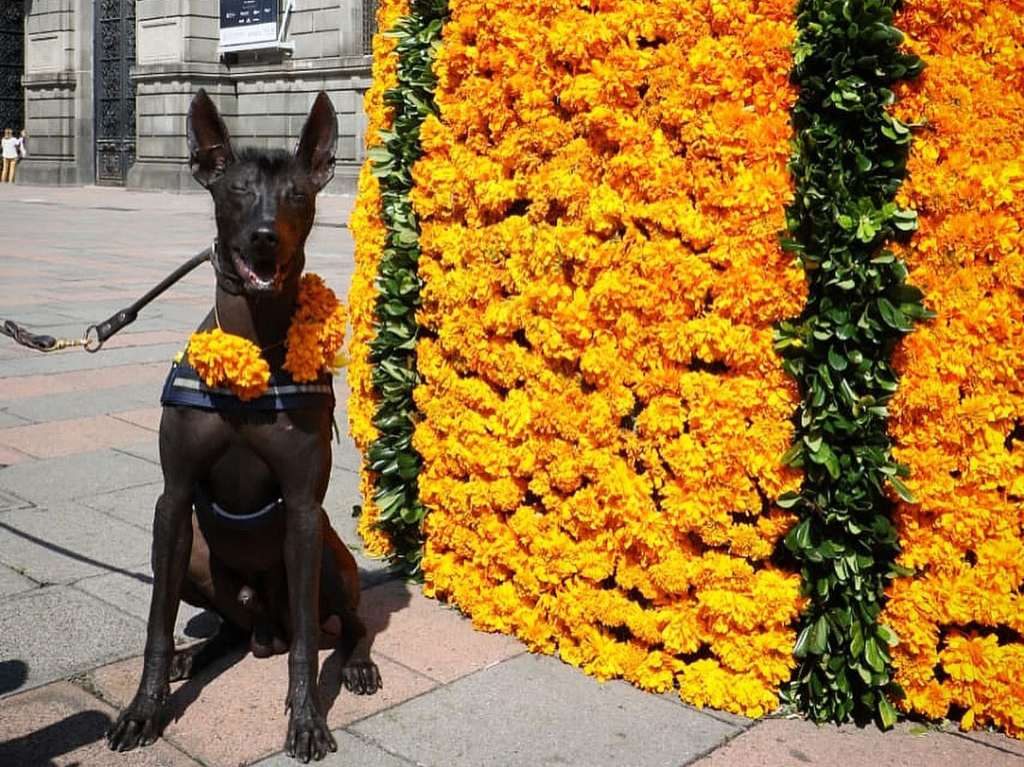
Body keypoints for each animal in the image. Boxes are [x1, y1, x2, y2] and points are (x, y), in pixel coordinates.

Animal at [107, 89, 380, 761]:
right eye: (236, 191)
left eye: (297, 196)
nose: (264, 239)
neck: (253, 340)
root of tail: (266, 629)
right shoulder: (173, 500)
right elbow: (155, 625)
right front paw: (144, 709)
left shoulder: (305, 513)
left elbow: (309, 645)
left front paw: (306, 719)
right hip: (200, 562)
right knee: (230, 629)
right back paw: (196, 655)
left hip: (329, 557)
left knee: (344, 624)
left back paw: (356, 665)